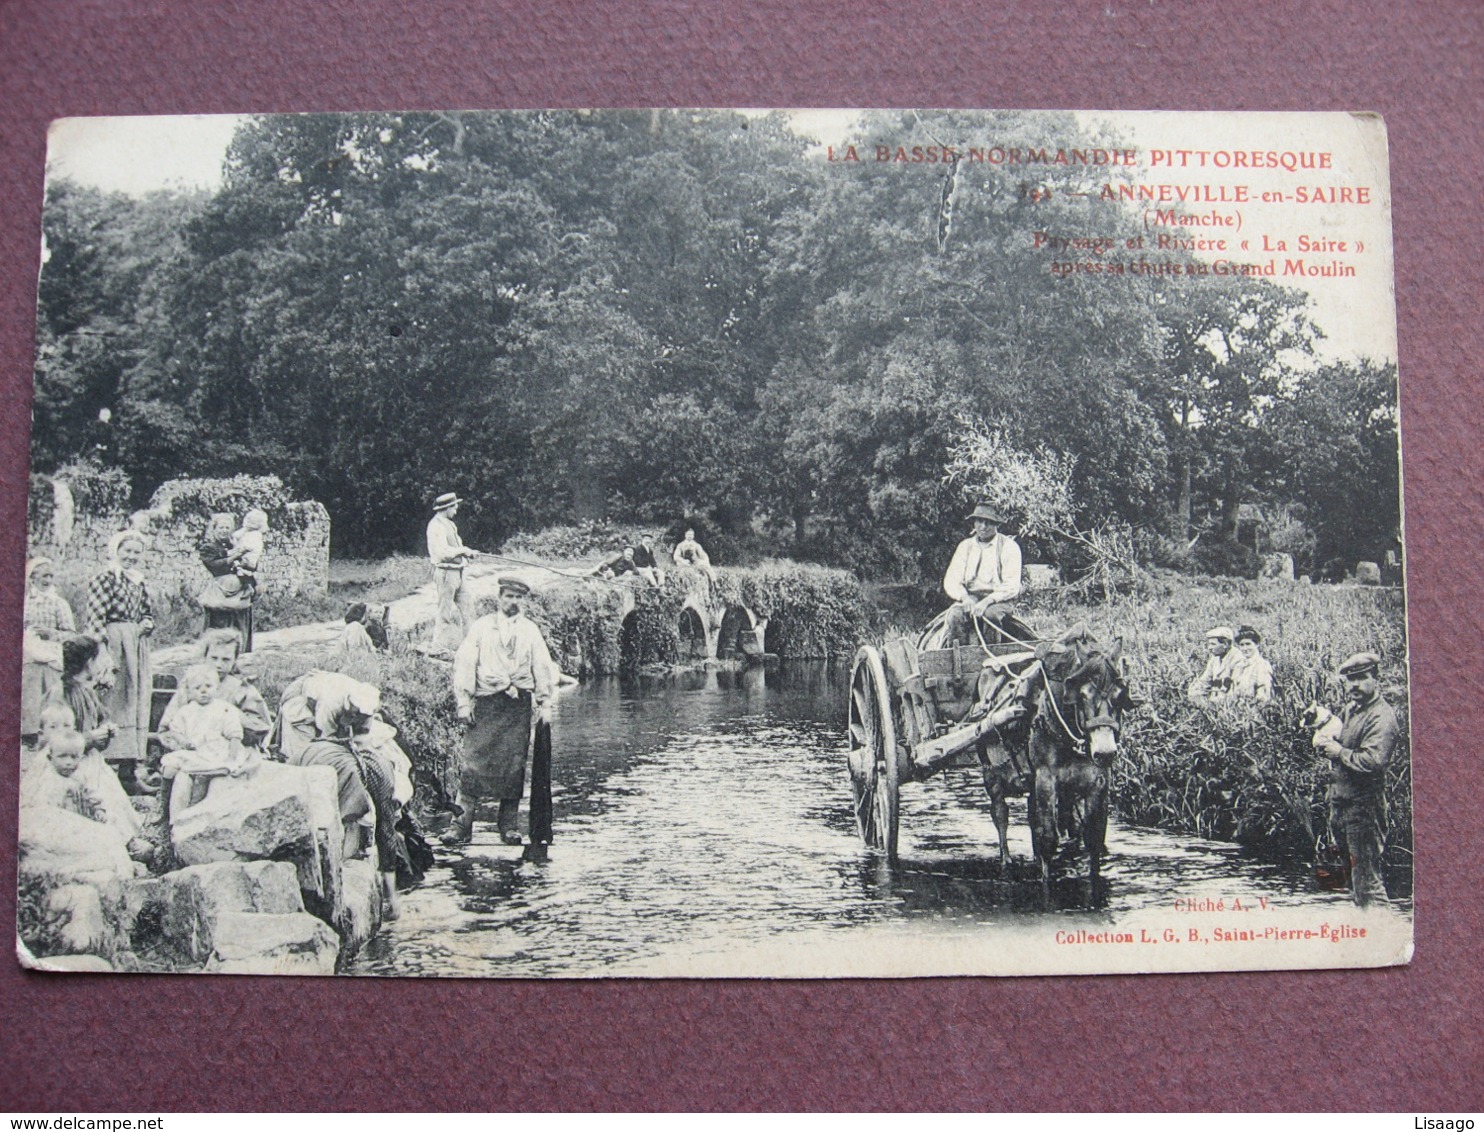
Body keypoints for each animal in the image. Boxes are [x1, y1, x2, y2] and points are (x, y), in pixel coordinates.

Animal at [985, 629, 1133, 884]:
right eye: (1082, 694)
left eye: (1120, 694)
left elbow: (1093, 839)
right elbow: (1048, 840)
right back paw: (1006, 860)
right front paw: (1045, 879)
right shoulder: (1045, 779)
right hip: (991, 774)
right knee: (1000, 814)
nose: (1105, 753)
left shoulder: (1099, 782)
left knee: (1031, 815)